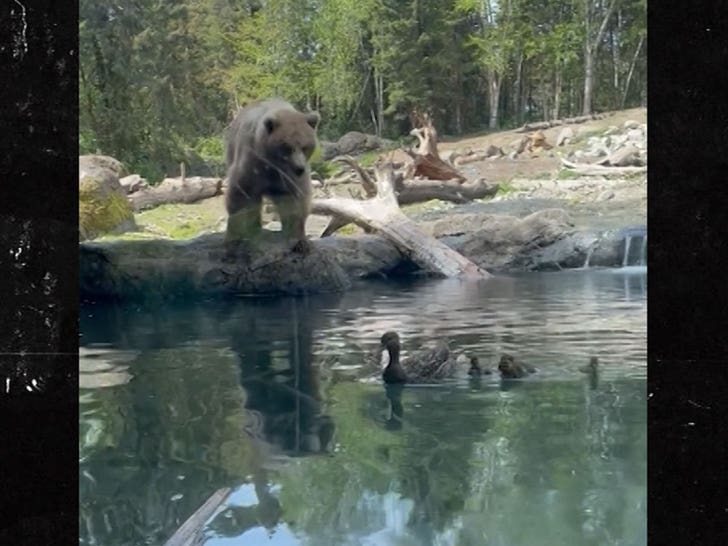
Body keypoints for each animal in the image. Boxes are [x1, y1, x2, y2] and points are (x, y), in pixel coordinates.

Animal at [223, 98, 320, 257]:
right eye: (288, 147)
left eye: (305, 146)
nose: (299, 168)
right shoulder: (251, 164)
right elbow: (240, 196)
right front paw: (233, 240)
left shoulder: (290, 178)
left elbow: (297, 202)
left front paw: (300, 242)